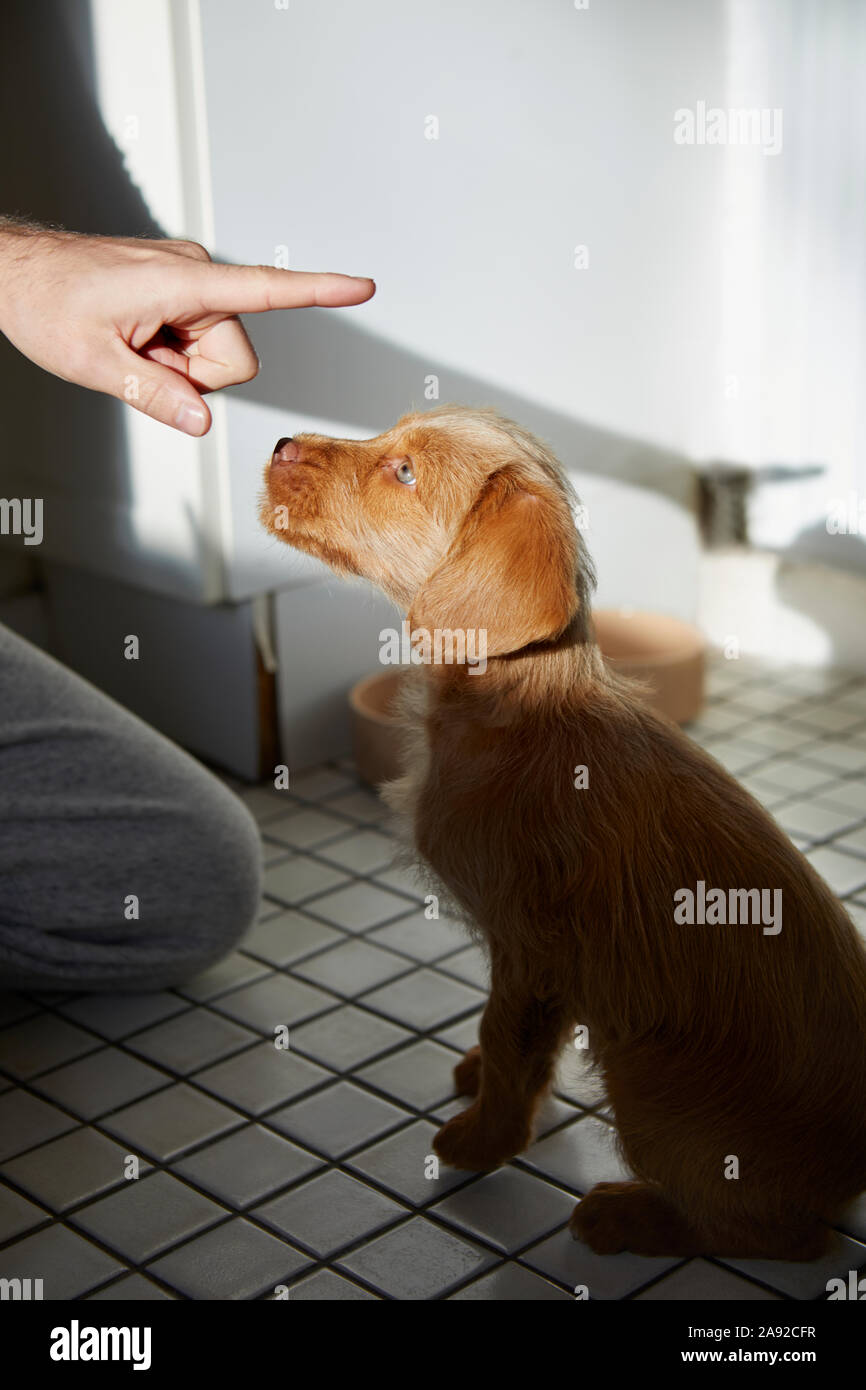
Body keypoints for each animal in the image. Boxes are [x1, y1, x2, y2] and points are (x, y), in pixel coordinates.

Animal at [261, 403, 866, 1262]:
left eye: (404, 472)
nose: (279, 442)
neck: (513, 701)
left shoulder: (533, 950)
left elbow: (509, 1039)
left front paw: (481, 1139)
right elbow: (519, 1046)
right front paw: (481, 1079)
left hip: (647, 1077)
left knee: (780, 1234)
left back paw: (627, 1216)